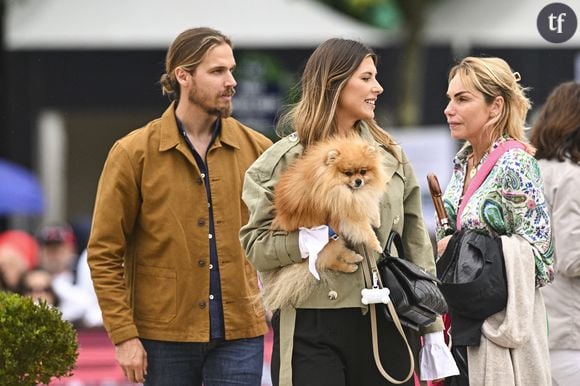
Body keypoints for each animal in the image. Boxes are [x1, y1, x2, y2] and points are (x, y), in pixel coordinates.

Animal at [262, 136, 390, 310]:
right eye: (348, 173)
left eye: (363, 171)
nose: (358, 181)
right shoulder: (343, 211)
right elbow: (363, 228)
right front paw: (376, 244)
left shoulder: (354, 201)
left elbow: (369, 206)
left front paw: (376, 219)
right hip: (326, 243)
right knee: (326, 262)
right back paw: (350, 266)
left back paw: (354, 257)